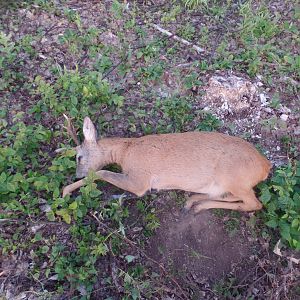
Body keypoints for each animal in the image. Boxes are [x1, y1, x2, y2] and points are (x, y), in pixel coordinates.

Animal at [62, 116, 270, 212]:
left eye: (78, 157)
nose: (77, 174)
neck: (125, 152)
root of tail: (265, 166)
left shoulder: (140, 180)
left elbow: (102, 172)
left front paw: (66, 190)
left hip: (233, 176)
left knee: (254, 204)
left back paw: (197, 205)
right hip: (227, 184)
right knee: (233, 197)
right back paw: (193, 202)